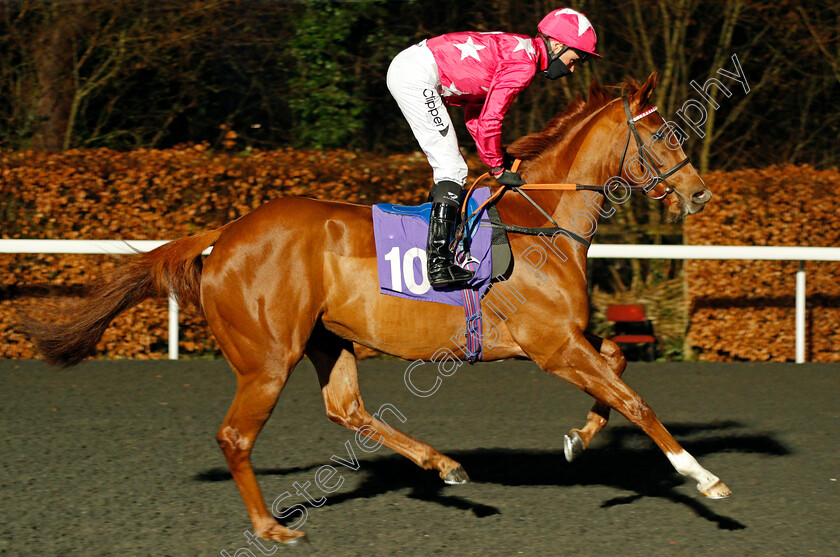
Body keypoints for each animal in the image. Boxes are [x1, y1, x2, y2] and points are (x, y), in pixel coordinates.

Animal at [21, 74, 728, 544]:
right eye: (663, 133)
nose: (698, 194)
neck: (541, 221)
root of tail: (225, 234)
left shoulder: (566, 339)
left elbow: (617, 366)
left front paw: (579, 439)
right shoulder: (552, 345)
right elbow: (634, 398)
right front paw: (702, 477)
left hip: (327, 339)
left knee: (346, 409)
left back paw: (443, 465)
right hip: (268, 358)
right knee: (236, 436)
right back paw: (270, 527)